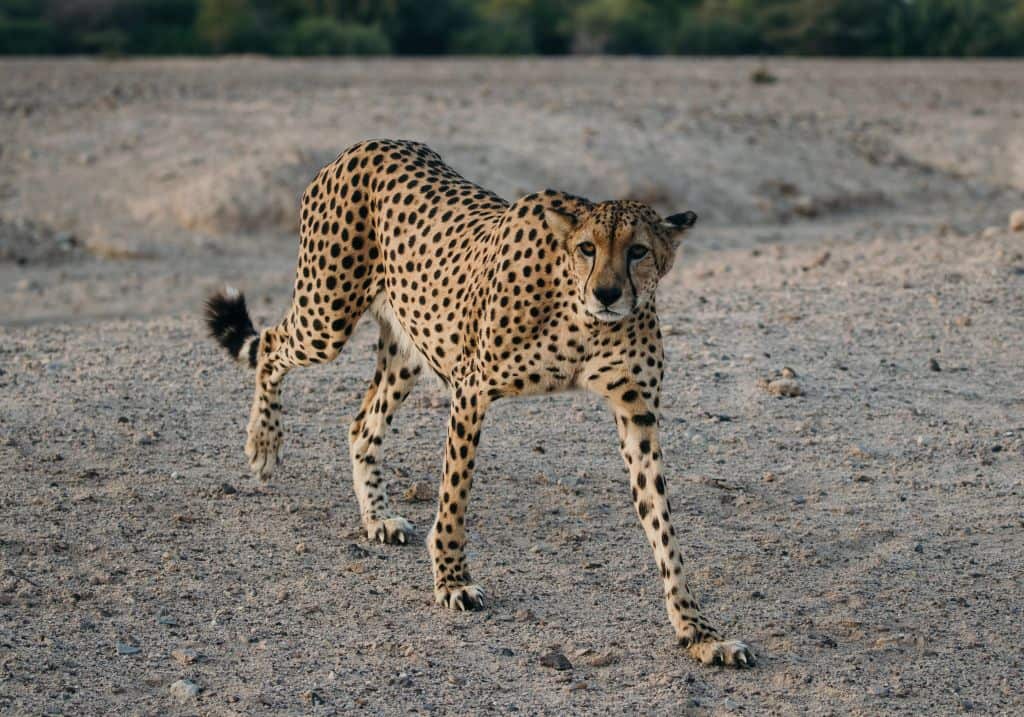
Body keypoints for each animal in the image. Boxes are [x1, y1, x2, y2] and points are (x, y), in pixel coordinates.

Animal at [203, 138, 757, 667]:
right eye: (587, 248)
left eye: (638, 250)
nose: (606, 292)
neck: (585, 321)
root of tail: (365, 144)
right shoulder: (471, 388)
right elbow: (455, 494)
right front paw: (451, 580)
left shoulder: (636, 414)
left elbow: (663, 527)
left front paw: (700, 632)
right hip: (327, 318)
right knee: (271, 346)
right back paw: (264, 443)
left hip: (411, 345)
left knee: (362, 424)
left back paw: (377, 518)